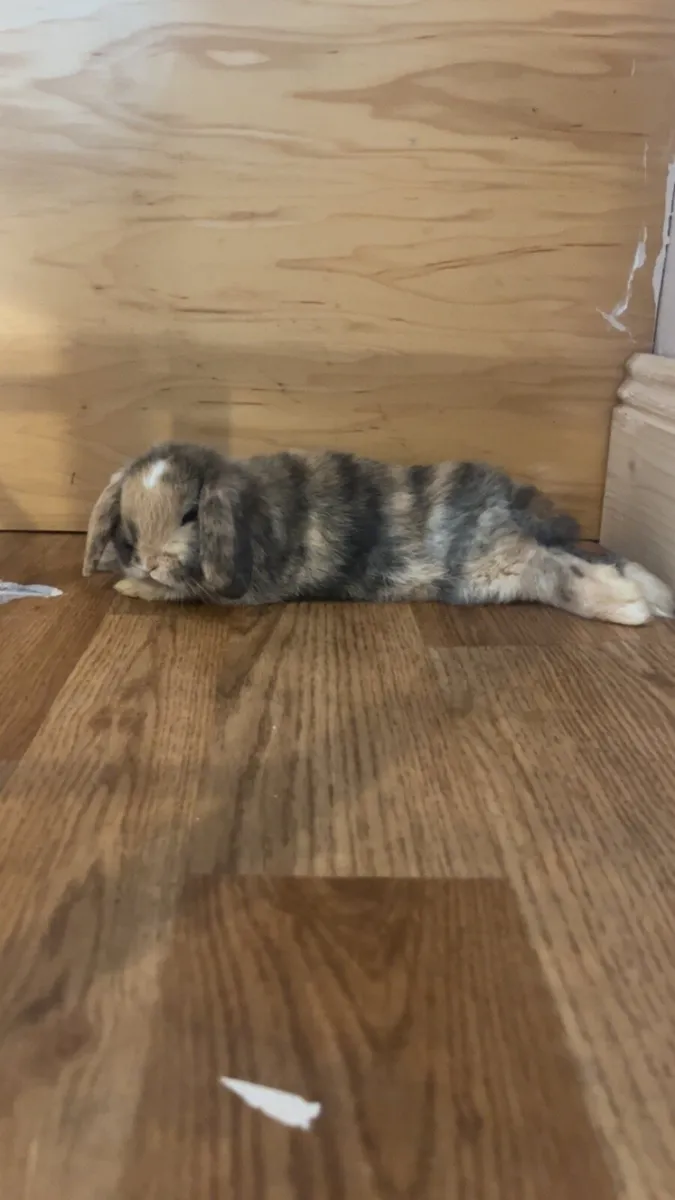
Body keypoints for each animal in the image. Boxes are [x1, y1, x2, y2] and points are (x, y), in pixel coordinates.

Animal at [82, 441, 673, 625]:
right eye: (128, 521)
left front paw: (131, 586)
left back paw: (631, 607)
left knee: (555, 568)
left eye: (190, 515)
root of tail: (508, 503)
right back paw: (655, 596)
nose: (147, 558)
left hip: (489, 569)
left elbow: (179, 593)